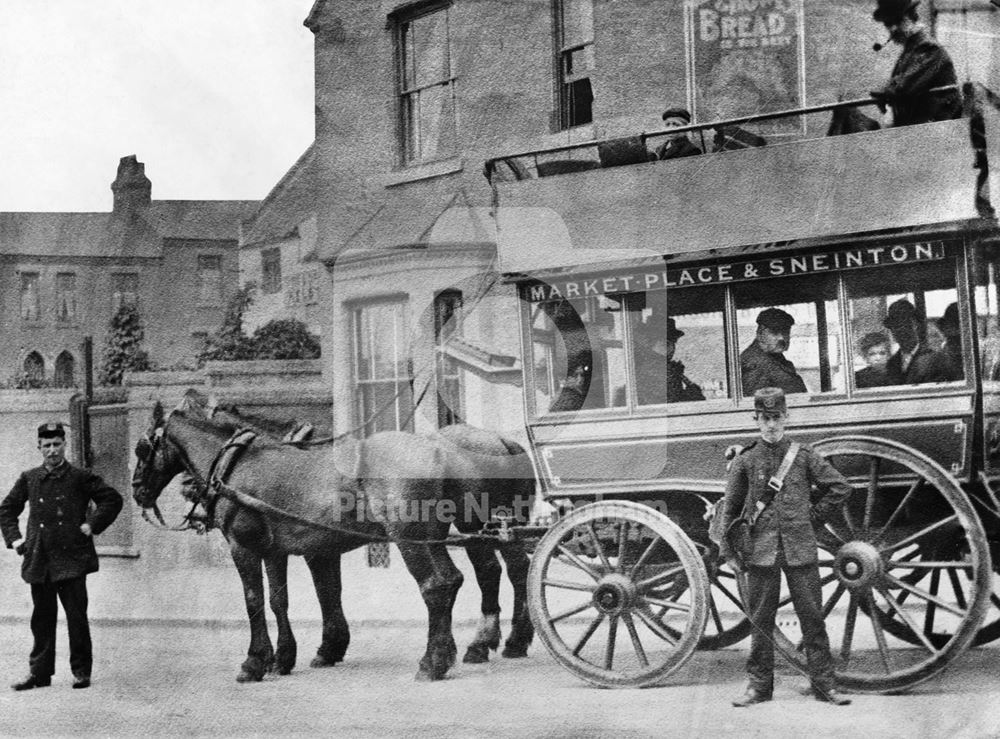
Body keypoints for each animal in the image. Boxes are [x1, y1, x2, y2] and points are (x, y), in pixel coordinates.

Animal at [137, 394, 536, 684]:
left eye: (142, 449)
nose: (138, 491)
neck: (237, 463)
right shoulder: (283, 549)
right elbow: (287, 599)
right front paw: (288, 656)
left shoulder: (246, 547)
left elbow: (256, 601)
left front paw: (255, 662)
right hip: (459, 533)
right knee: (483, 575)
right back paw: (482, 646)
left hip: (417, 537)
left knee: (443, 583)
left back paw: (436, 660)